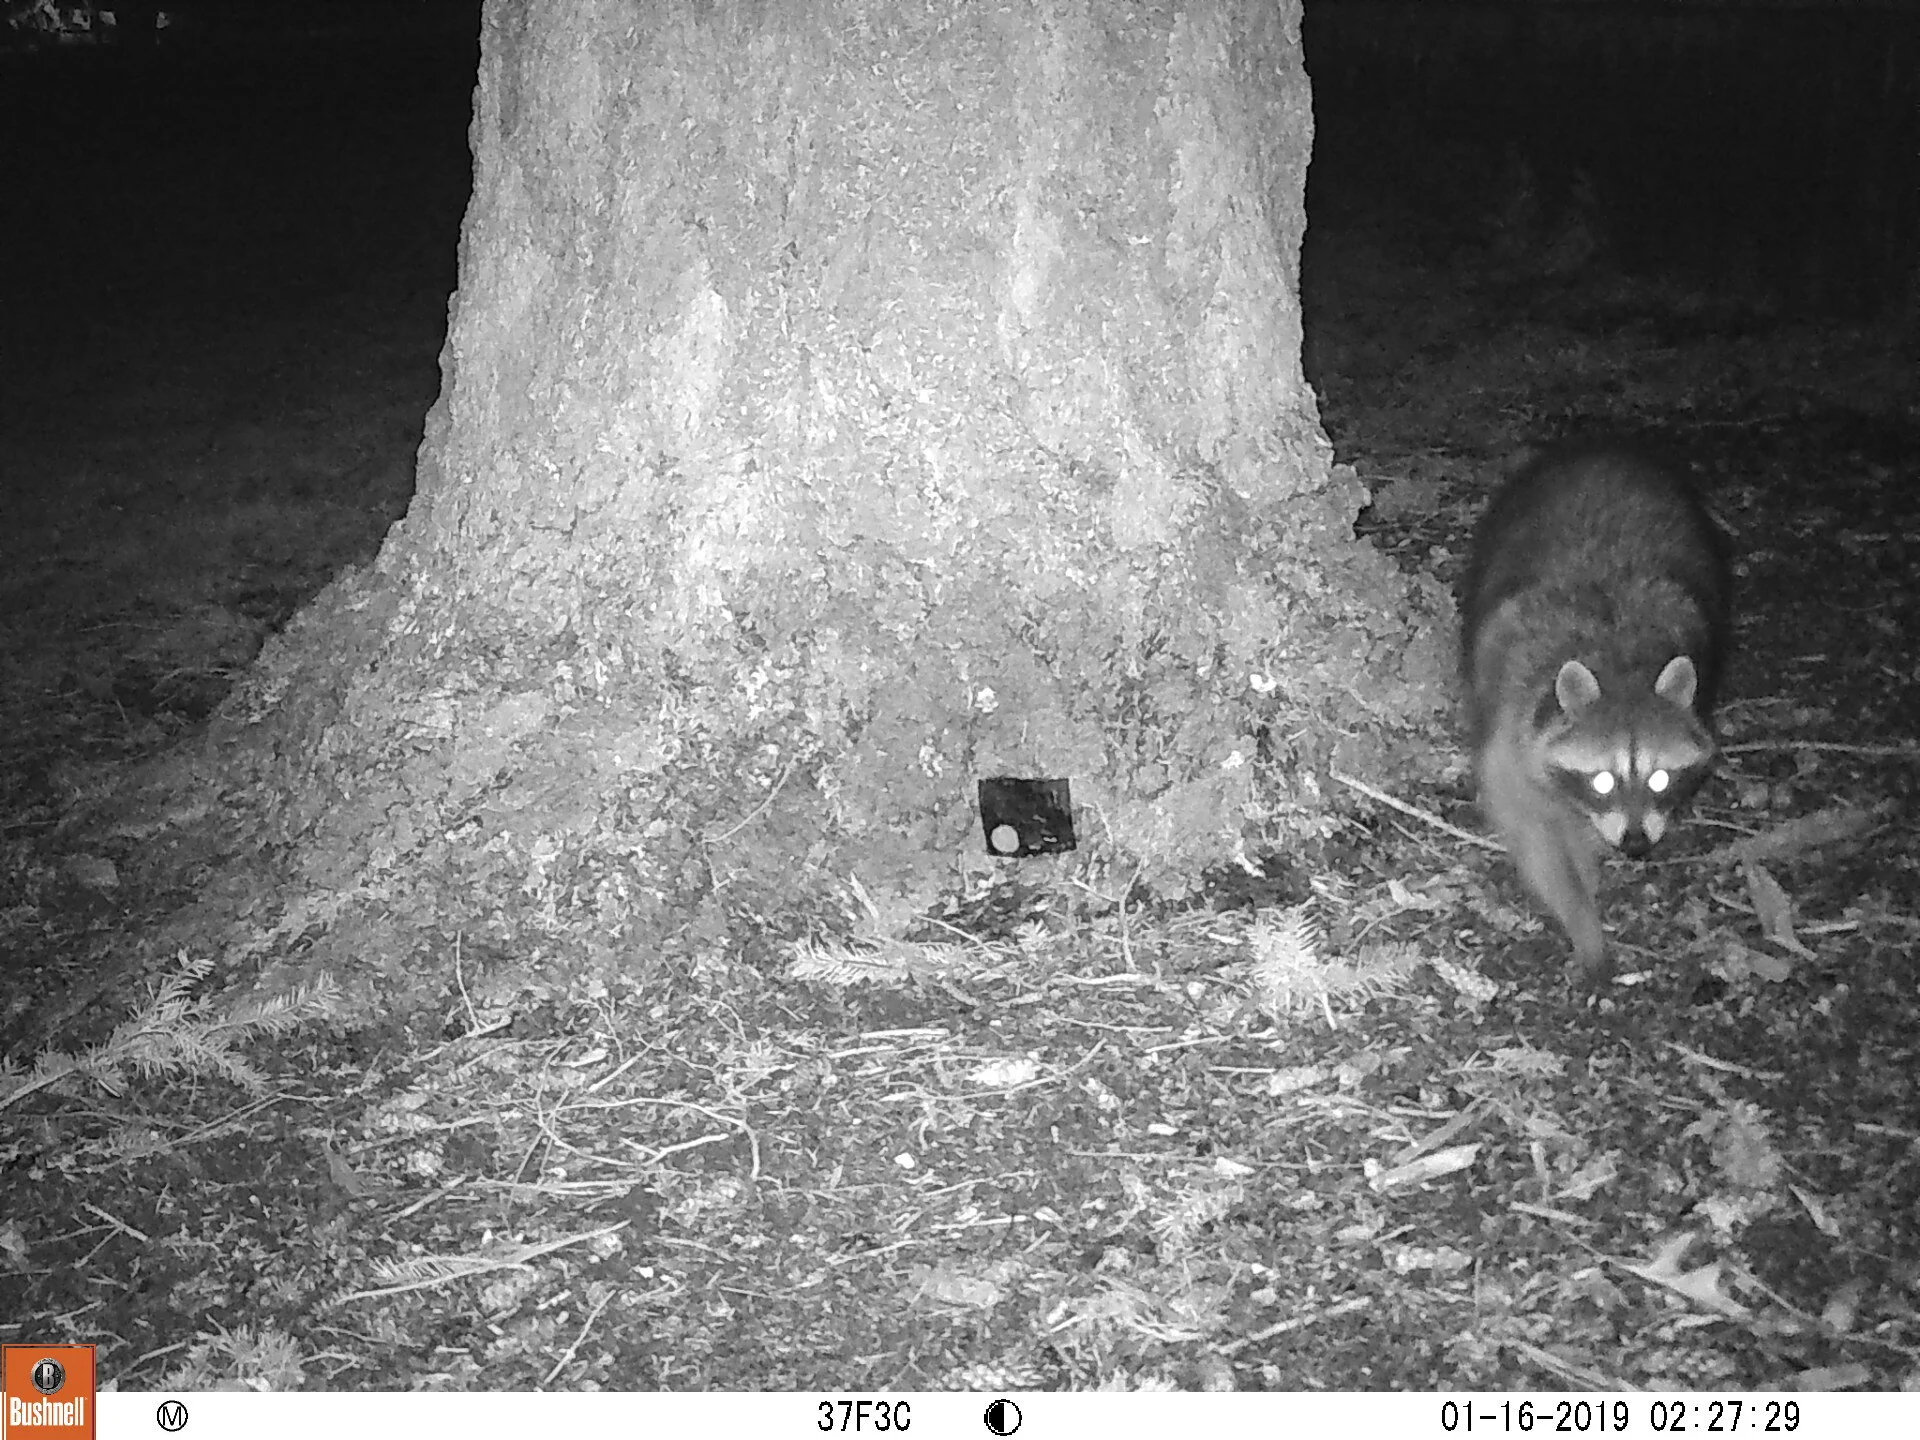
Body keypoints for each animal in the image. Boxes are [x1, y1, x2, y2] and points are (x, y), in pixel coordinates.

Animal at [1460, 443, 1731, 983]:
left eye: (1661, 778)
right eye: (1603, 780)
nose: (1636, 845)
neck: (1620, 665)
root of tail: (1600, 452)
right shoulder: (1510, 721)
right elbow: (1530, 827)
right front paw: (1580, 913)